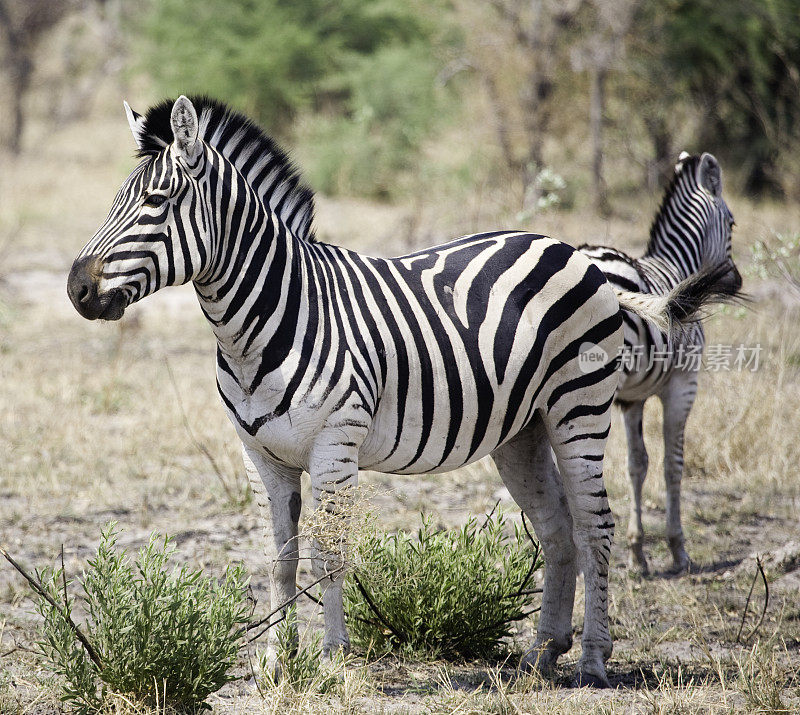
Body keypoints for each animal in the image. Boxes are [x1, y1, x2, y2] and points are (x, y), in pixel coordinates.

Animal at [580, 154, 740, 580]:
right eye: (732, 223)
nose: (736, 281)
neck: (678, 265)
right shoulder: (683, 383)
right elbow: (673, 464)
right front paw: (678, 550)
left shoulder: (632, 399)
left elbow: (637, 464)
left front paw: (638, 553)